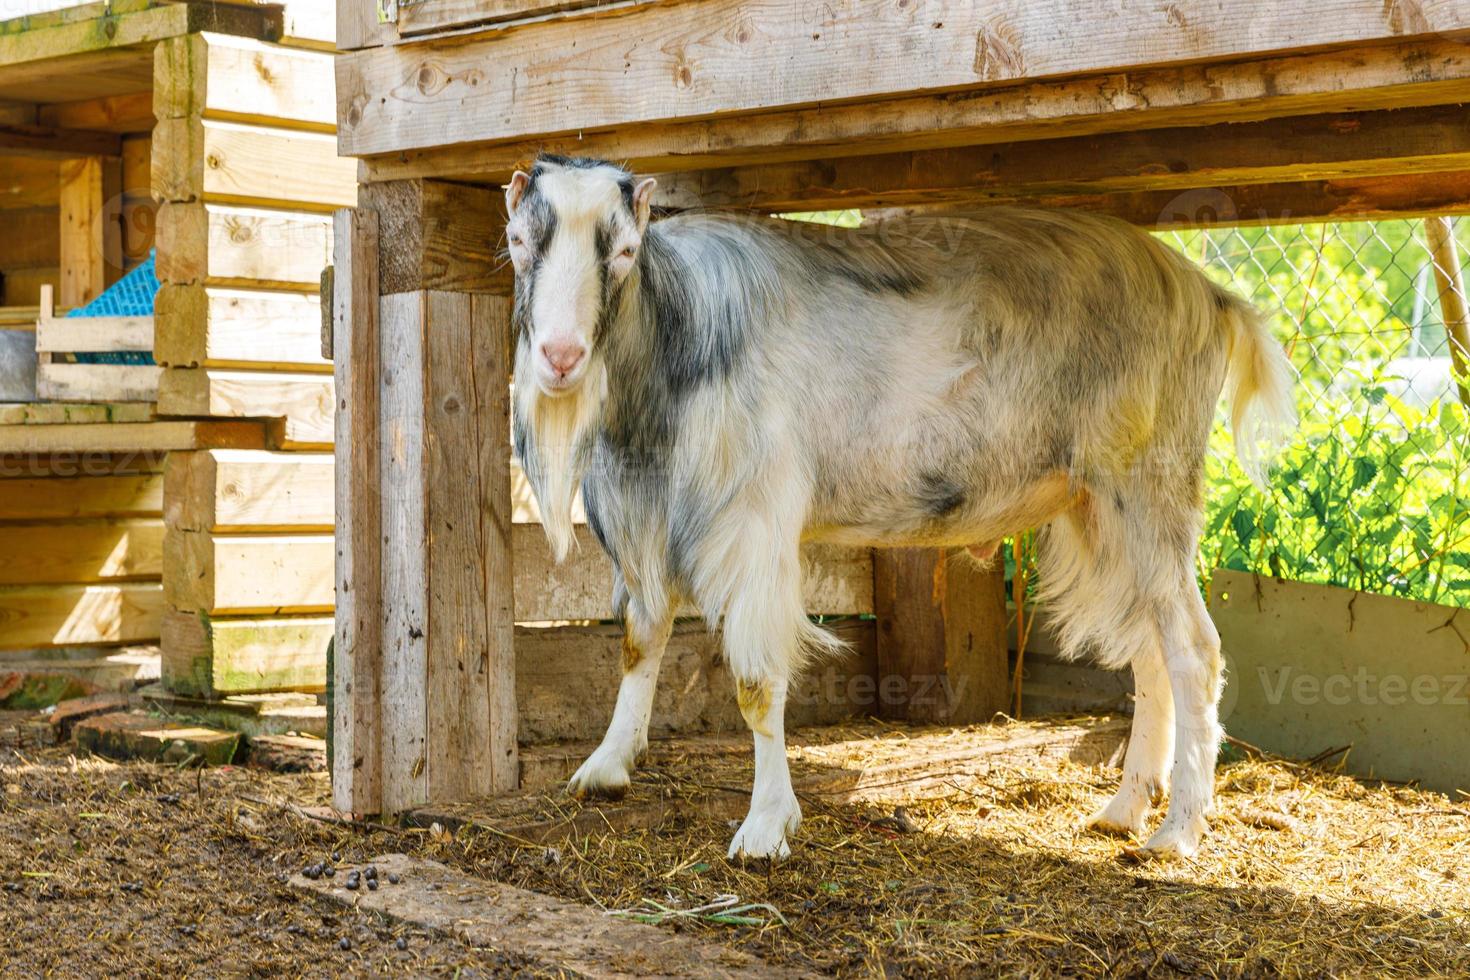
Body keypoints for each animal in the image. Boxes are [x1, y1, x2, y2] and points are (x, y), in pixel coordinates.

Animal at [511, 153, 1293, 858]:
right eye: (520, 243)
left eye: (624, 251)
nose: (560, 357)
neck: (682, 331)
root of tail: (1207, 295)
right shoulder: (645, 520)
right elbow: (639, 641)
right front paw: (605, 767)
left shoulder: (754, 525)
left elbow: (757, 684)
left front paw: (765, 829)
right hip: (1098, 507)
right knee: (1151, 649)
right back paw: (1125, 809)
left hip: (1149, 486)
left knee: (1194, 651)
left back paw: (1178, 831)